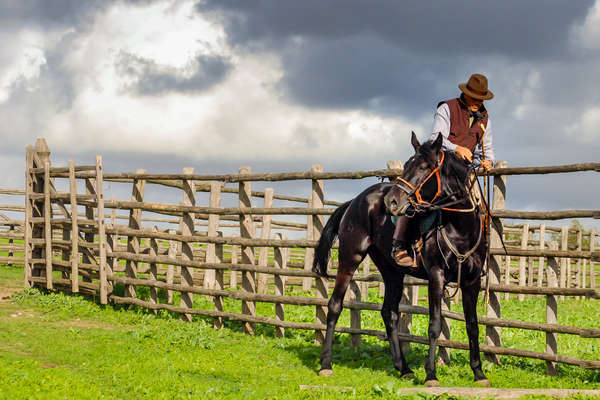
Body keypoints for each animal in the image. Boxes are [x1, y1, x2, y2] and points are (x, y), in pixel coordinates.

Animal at [312, 133, 490, 386]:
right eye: (406, 165)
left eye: (424, 167)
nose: (392, 202)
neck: (460, 229)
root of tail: (356, 200)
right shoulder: (436, 275)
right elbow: (435, 325)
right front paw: (431, 375)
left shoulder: (472, 281)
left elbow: (472, 326)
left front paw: (479, 373)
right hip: (350, 257)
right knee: (335, 305)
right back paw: (326, 364)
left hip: (392, 270)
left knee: (390, 313)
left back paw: (403, 368)